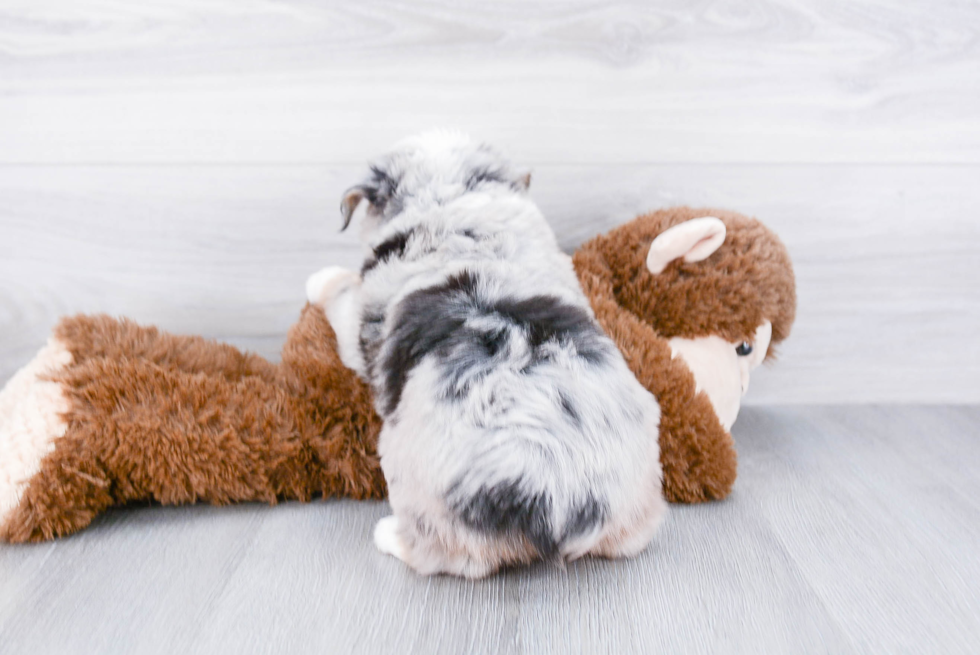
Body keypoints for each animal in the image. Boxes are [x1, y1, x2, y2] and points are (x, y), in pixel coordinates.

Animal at [308, 129, 668, 580]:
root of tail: (551, 494)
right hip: (635, 506)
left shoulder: (358, 323)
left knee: (448, 556)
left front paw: (319, 278)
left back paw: (388, 534)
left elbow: (338, 293)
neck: (450, 199)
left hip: (415, 481)